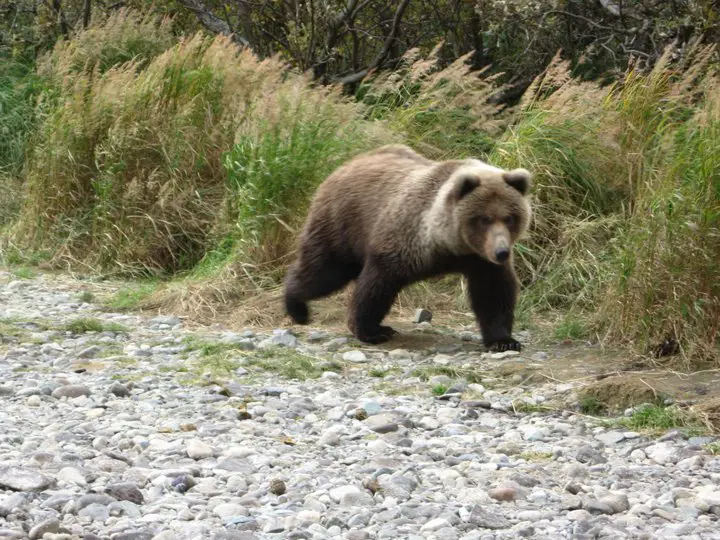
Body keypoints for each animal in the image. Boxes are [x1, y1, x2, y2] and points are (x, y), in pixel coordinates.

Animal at [284, 144, 532, 350]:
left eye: (510, 218)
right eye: (484, 219)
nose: (502, 252)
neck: (447, 244)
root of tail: (348, 163)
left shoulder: (480, 260)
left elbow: (493, 294)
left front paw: (504, 341)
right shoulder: (404, 242)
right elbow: (375, 286)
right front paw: (371, 330)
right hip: (342, 223)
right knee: (324, 270)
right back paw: (297, 307)